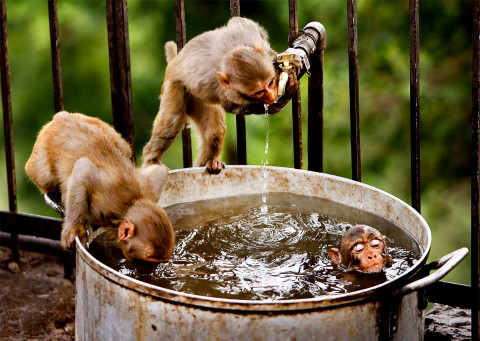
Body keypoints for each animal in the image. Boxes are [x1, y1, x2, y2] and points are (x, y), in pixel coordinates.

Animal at [25, 113, 175, 262]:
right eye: (150, 261)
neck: (129, 205)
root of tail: (62, 116)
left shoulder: (149, 190)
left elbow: (160, 170)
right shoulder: (105, 201)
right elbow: (83, 168)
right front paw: (74, 228)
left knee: (124, 148)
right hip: (41, 152)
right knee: (46, 178)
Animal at [141, 15, 302, 173]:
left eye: (270, 82)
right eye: (259, 92)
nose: (271, 96)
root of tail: (173, 63)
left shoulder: (247, 34)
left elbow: (241, 22)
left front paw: (281, 60)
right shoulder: (227, 93)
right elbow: (233, 107)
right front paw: (279, 102)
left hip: (197, 100)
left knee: (214, 132)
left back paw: (210, 163)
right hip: (176, 87)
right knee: (172, 121)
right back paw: (151, 161)